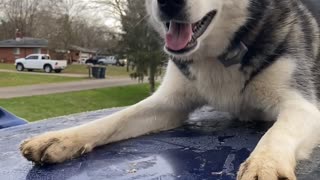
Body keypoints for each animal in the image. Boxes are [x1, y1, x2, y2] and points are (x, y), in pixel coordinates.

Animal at [20, 0, 320, 179]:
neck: (218, 55)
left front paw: (264, 165)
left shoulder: (303, 105)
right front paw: (62, 138)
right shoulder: (169, 104)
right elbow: (116, 118)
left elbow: (277, 133)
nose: (169, 2)